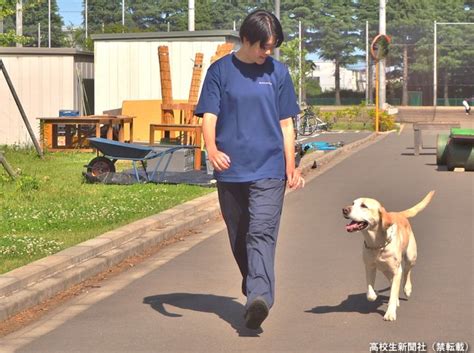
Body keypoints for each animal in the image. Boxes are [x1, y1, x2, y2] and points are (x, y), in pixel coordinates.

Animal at [342, 191, 436, 320]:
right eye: (353, 203)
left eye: (364, 206)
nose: (344, 210)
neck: (376, 245)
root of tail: (398, 213)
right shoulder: (369, 267)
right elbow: (370, 293)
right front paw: (375, 295)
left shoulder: (397, 270)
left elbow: (394, 291)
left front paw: (390, 313)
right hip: (385, 269)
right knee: (392, 281)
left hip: (410, 257)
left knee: (407, 272)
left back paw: (407, 288)